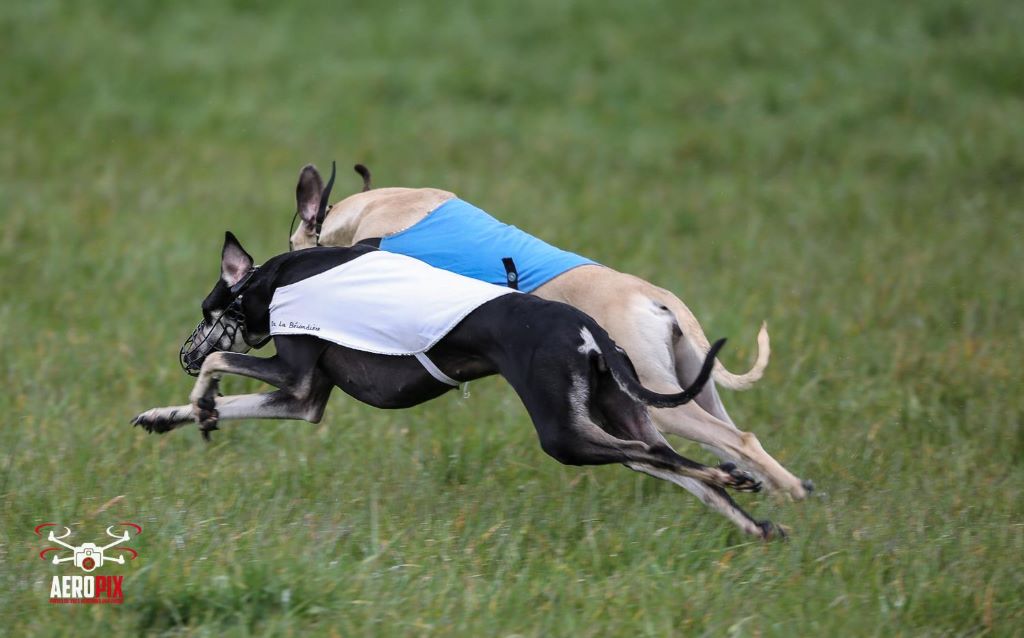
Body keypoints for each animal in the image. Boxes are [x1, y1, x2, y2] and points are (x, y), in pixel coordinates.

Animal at [132, 232, 778, 536]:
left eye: (205, 308)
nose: (183, 353)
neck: (277, 278)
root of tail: (586, 327)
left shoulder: (294, 382)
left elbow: (222, 365)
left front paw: (201, 401)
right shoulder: (303, 401)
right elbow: (231, 399)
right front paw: (167, 417)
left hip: (564, 435)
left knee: (669, 459)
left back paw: (734, 477)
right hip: (616, 417)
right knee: (670, 463)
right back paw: (751, 513)